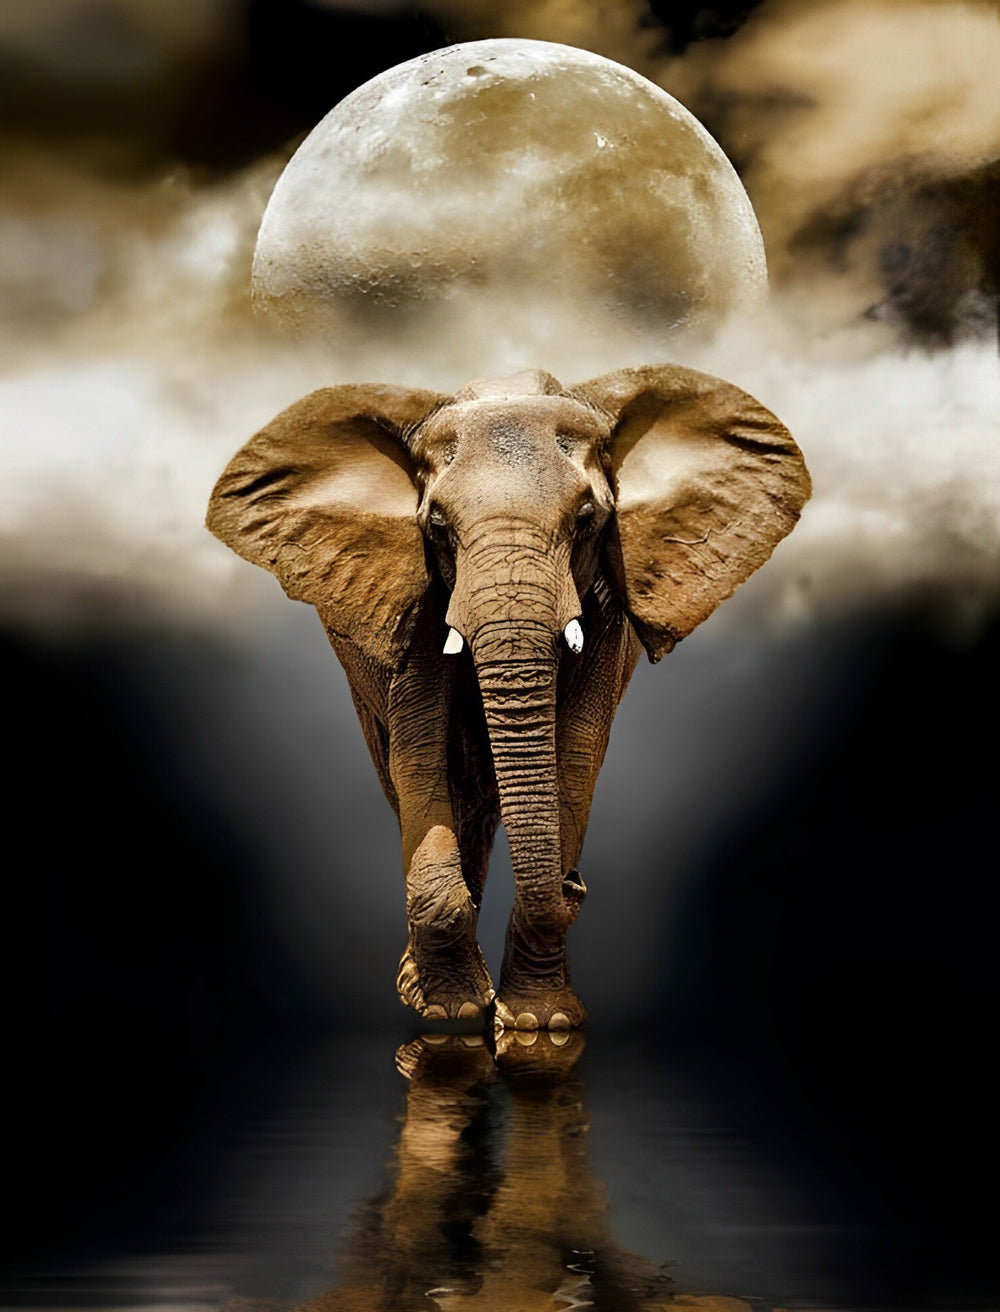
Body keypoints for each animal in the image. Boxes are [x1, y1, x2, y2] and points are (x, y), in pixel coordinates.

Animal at [206, 363, 810, 1031]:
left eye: (586, 520)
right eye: (437, 526)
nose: (576, 883)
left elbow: (576, 754)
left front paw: (538, 1025)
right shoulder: (417, 592)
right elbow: (419, 751)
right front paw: (452, 1012)